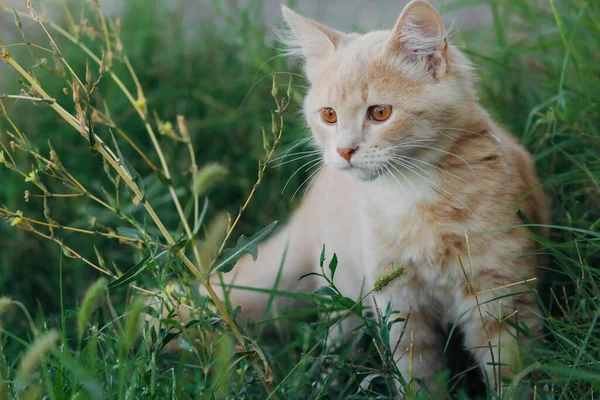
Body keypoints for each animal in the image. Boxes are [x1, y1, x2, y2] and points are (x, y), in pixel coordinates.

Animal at [189, 0, 548, 394]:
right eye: (329, 115)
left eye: (380, 113)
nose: (344, 151)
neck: (409, 193)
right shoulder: (399, 307)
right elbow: (418, 378)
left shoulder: (503, 296)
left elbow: (513, 375)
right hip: (342, 294)